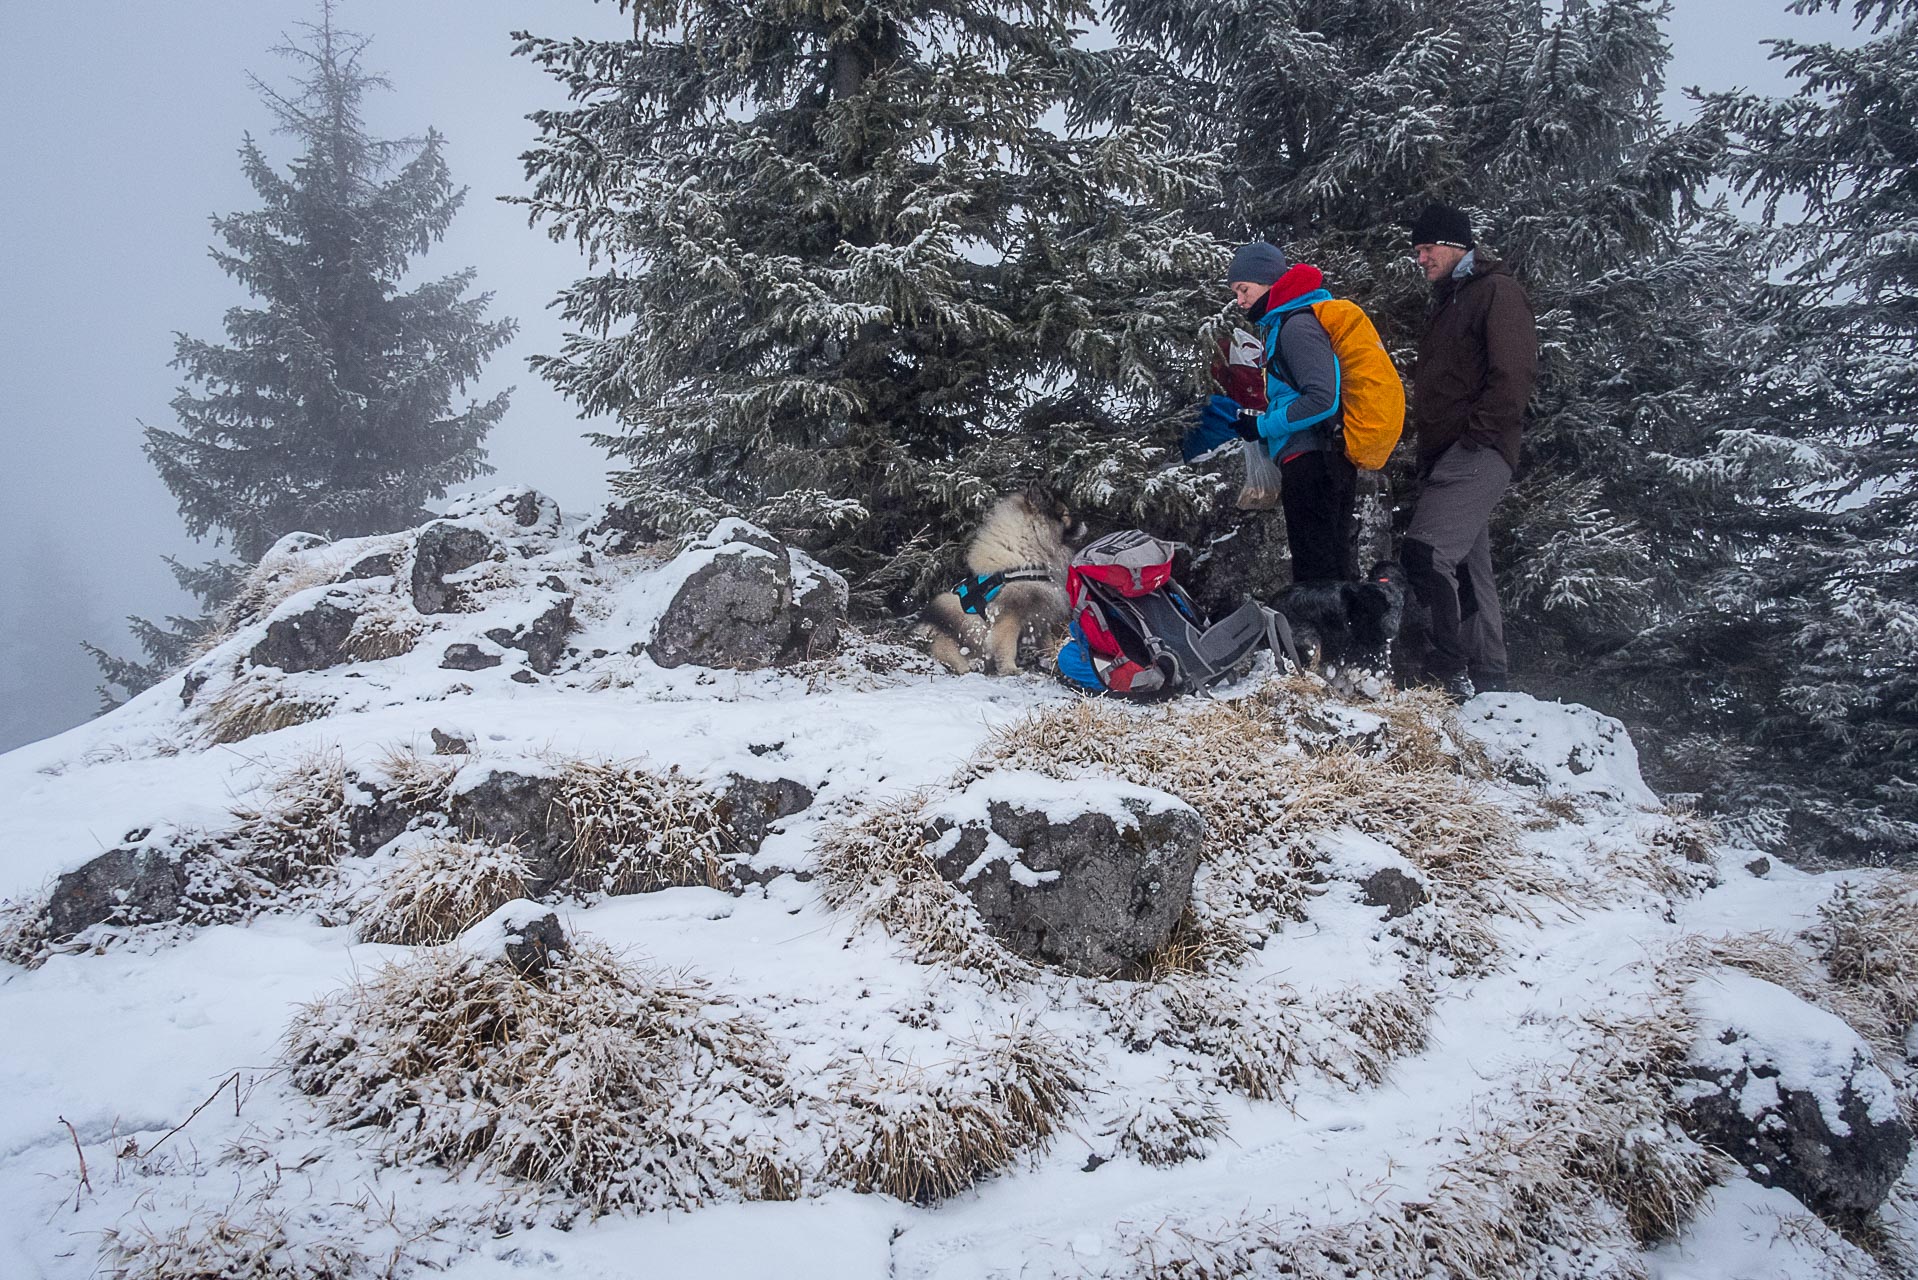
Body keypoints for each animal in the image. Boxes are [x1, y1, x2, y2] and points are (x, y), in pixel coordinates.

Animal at [924, 485, 1081, 675]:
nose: (1084, 524)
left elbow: (1046, 642)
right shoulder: (1008, 617)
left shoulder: (1039, 617)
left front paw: (1052, 659)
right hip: (948, 630)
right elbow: (1006, 645)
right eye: (1065, 514)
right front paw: (1009, 668)